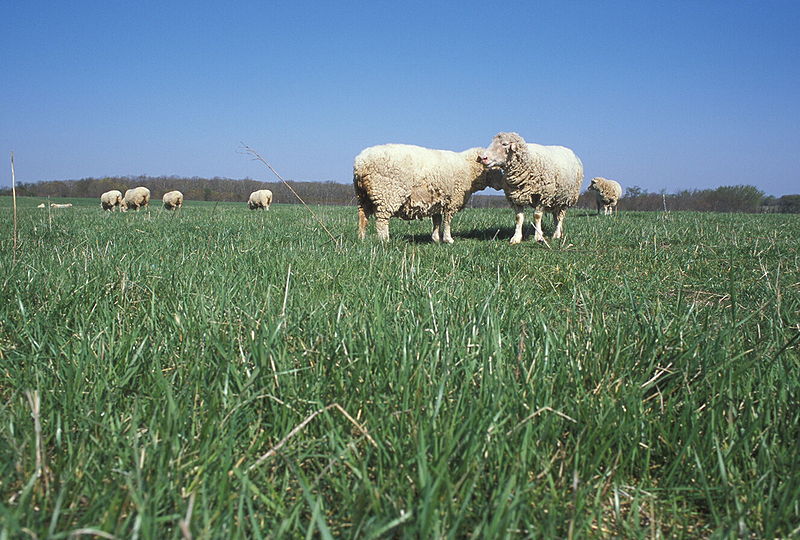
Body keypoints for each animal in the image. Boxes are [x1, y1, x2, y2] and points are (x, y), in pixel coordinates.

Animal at [354, 144, 500, 244]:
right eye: (494, 167)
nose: (500, 186)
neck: (469, 168)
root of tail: (361, 163)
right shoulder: (452, 201)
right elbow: (447, 221)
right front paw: (448, 239)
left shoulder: (437, 202)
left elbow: (437, 221)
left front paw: (436, 239)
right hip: (387, 194)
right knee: (381, 221)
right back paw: (384, 240)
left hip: (363, 197)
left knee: (363, 217)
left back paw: (361, 239)